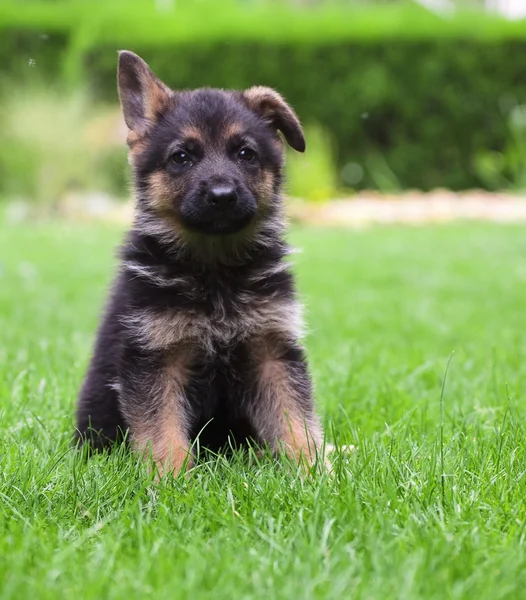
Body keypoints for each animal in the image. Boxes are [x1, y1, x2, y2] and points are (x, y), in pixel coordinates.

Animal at [74, 49, 326, 476]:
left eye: (245, 154)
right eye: (181, 157)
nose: (222, 195)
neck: (214, 269)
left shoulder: (272, 352)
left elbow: (294, 418)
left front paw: (314, 471)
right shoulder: (155, 358)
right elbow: (162, 430)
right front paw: (172, 480)